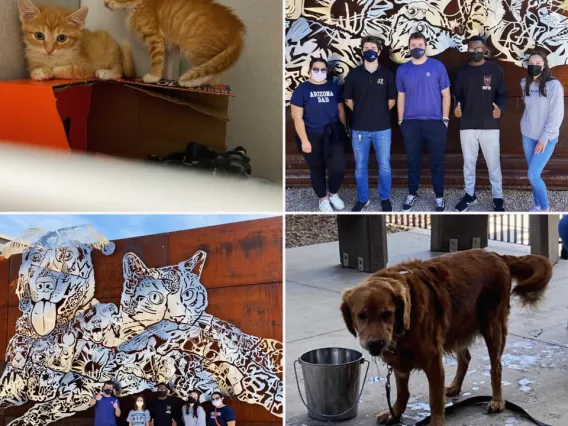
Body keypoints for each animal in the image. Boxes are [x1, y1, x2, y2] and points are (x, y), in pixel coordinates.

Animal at [105, 0, 246, 87]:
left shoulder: (155, 39)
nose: (105, 3)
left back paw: (192, 82)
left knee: (213, 72)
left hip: (196, 51)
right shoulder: (168, 49)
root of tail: (236, 27)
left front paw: (154, 76)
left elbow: (156, 61)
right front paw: (165, 79)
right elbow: (166, 65)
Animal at [340, 250, 552, 426]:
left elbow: (435, 399)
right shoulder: (399, 363)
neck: (404, 327)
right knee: (466, 358)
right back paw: (455, 387)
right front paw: (395, 413)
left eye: (387, 314)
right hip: (458, 325)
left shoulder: (433, 362)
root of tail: (497, 255)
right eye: (361, 316)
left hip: (492, 327)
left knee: (496, 367)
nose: (375, 345)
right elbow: (402, 393)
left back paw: (497, 400)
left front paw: (435, 422)